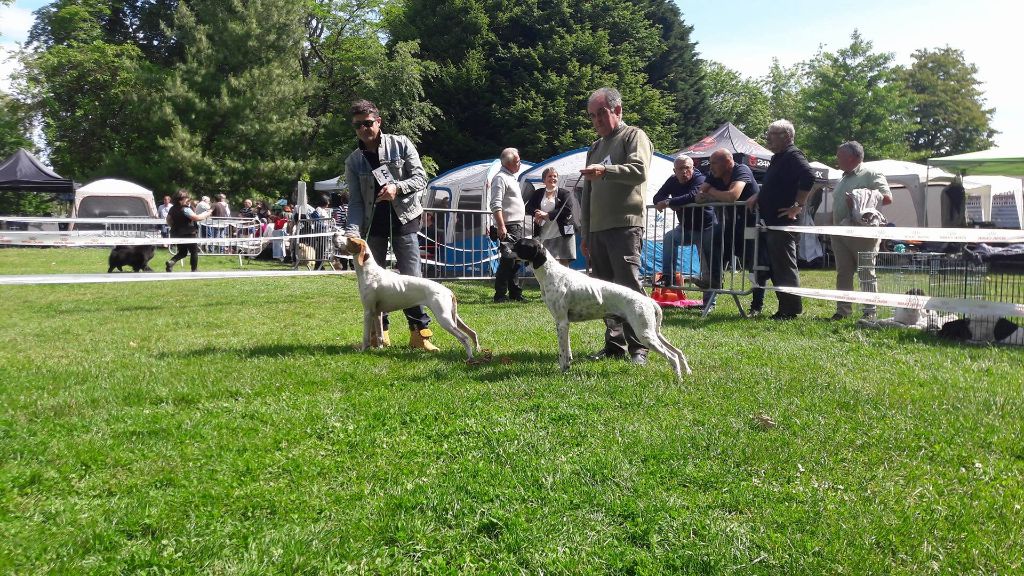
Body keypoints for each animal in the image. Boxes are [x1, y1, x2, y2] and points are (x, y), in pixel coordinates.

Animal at [509, 235, 692, 379]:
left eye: (519, 244)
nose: (504, 244)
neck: (551, 273)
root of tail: (647, 300)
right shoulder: (565, 324)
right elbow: (567, 350)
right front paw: (567, 366)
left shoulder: (561, 322)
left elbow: (562, 352)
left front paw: (563, 369)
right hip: (653, 332)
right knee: (678, 352)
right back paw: (687, 372)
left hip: (644, 334)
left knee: (672, 356)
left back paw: (678, 380)